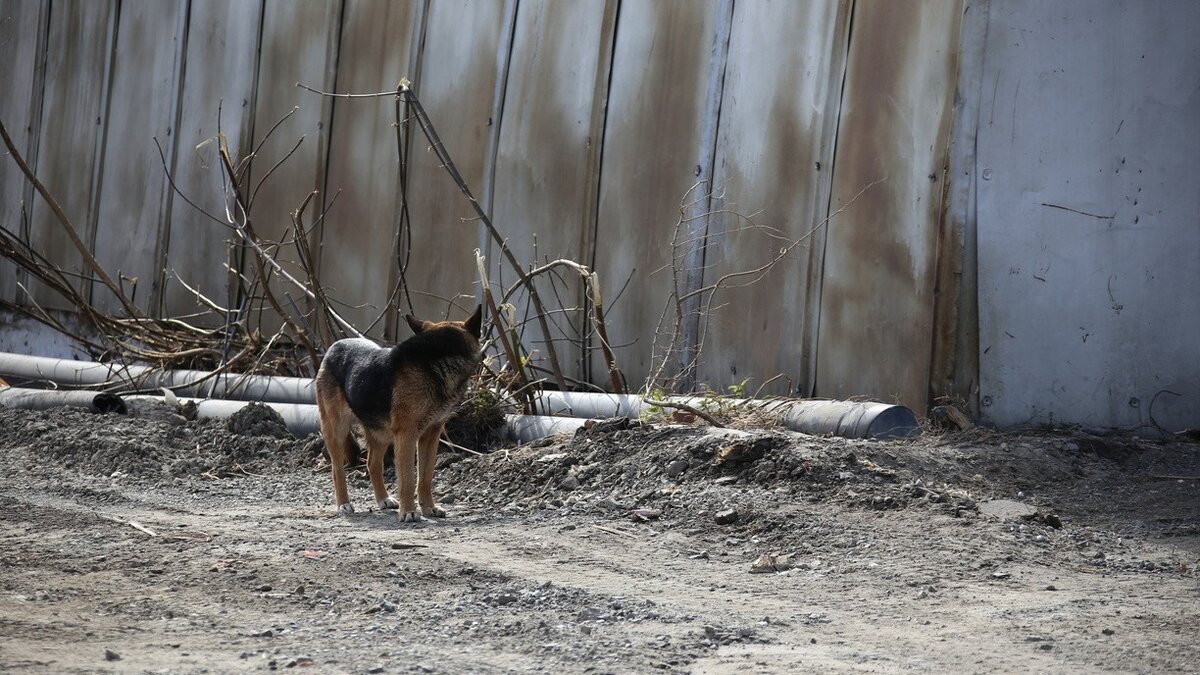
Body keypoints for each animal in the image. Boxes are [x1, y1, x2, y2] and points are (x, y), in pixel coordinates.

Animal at [319, 305, 487, 521]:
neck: (436, 360)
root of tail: (334, 346)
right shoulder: (407, 436)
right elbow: (408, 479)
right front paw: (408, 512)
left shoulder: (430, 436)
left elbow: (425, 478)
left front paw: (428, 508)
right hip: (337, 430)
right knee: (337, 468)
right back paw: (343, 504)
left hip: (380, 434)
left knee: (373, 464)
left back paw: (383, 499)